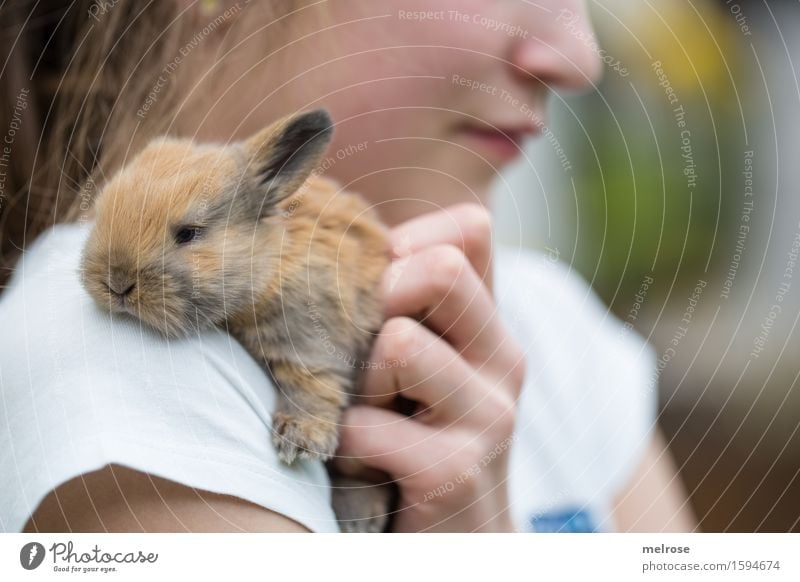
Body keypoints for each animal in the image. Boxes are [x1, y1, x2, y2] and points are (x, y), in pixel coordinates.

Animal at [79, 109, 396, 532]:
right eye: (101, 212)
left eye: (188, 233)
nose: (116, 284)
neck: (271, 259)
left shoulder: (309, 338)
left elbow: (312, 384)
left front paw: (301, 439)